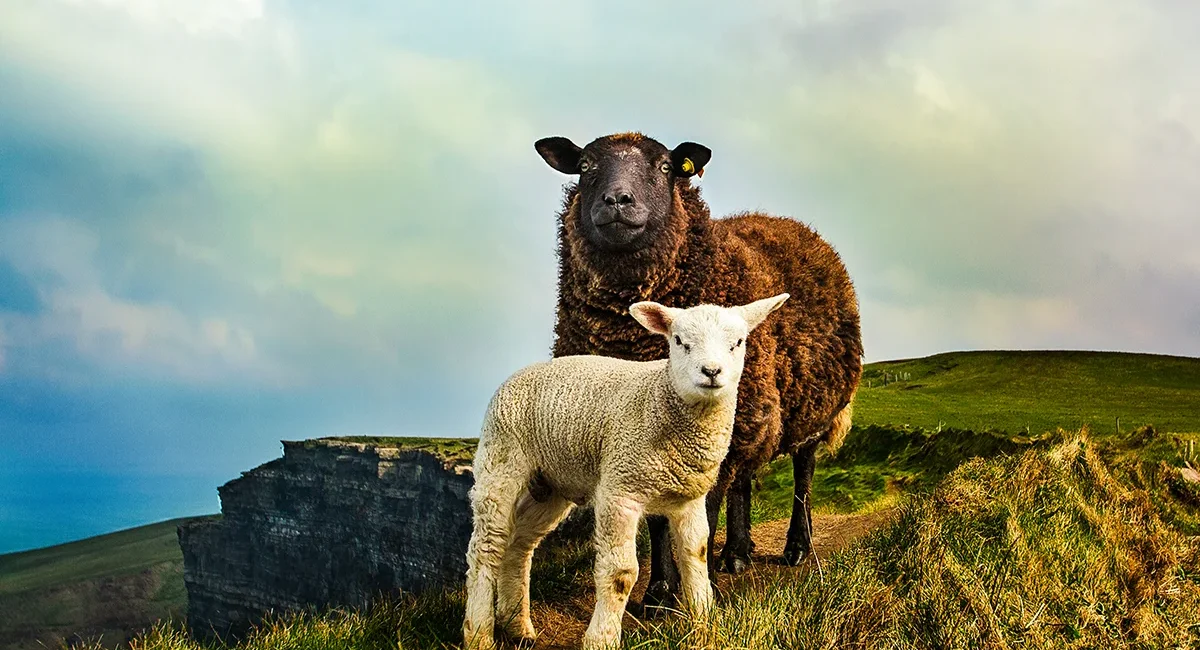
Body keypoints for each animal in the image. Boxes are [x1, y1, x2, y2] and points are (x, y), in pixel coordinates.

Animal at [462, 293, 790, 650]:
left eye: (738, 342)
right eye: (679, 341)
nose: (711, 371)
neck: (661, 400)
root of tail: (521, 372)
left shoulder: (689, 498)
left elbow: (697, 556)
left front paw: (705, 625)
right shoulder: (620, 489)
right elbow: (621, 573)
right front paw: (602, 638)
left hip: (550, 484)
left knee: (519, 545)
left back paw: (517, 626)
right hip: (501, 461)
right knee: (486, 548)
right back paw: (479, 634)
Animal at [534, 132, 863, 607]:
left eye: (666, 167)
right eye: (584, 165)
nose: (617, 200)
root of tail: (791, 223)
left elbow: (699, 515)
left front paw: (692, 591)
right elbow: (659, 519)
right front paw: (658, 591)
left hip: (810, 409)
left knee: (803, 473)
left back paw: (796, 547)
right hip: (754, 410)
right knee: (745, 479)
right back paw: (737, 553)